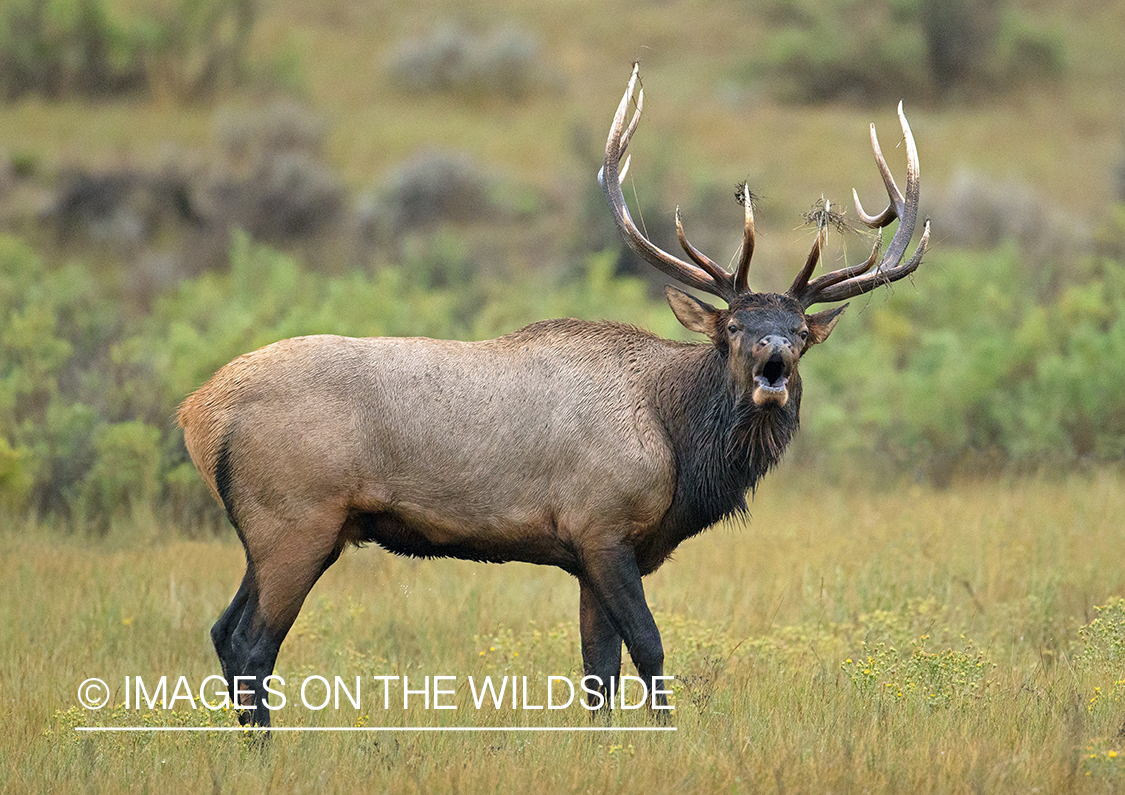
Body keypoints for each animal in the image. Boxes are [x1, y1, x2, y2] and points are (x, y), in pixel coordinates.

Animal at [180, 65, 927, 724]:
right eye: (733, 326)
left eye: (800, 331)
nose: (773, 356)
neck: (678, 444)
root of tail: (198, 411)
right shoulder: (601, 526)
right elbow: (648, 648)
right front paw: (666, 736)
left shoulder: (587, 554)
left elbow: (599, 670)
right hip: (296, 520)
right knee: (251, 642)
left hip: (275, 531)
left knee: (221, 630)